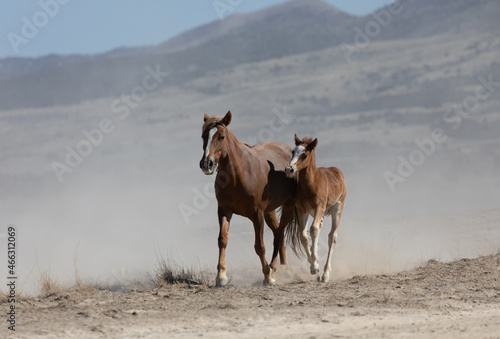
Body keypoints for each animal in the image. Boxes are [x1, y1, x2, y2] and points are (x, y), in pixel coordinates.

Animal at [198, 111, 294, 286]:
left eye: (221, 137)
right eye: (203, 136)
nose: (206, 164)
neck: (239, 175)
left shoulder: (257, 214)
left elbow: (259, 246)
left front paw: (267, 276)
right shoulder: (224, 210)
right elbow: (222, 240)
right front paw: (221, 276)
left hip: (286, 207)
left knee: (279, 234)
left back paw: (277, 270)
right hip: (269, 212)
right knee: (279, 234)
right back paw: (282, 269)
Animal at [286, 134, 348, 282]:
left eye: (305, 155)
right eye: (293, 152)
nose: (289, 169)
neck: (312, 184)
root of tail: (337, 171)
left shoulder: (319, 207)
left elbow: (313, 230)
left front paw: (315, 266)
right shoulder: (302, 210)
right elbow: (303, 235)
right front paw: (313, 264)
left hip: (337, 209)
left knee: (332, 237)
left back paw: (326, 274)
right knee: (319, 229)